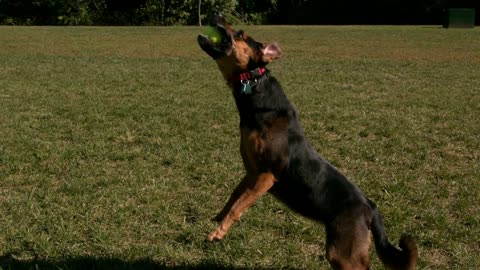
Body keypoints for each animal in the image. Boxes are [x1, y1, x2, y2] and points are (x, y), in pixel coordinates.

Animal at [197, 15, 418, 270]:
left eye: (241, 34)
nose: (219, 16)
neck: (254, 85)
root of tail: (371, 208)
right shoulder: (251, 173)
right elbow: (234, 198)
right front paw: (218, 219)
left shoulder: (266, 176)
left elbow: (237, 206)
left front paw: (218, 233)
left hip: (343, 253)